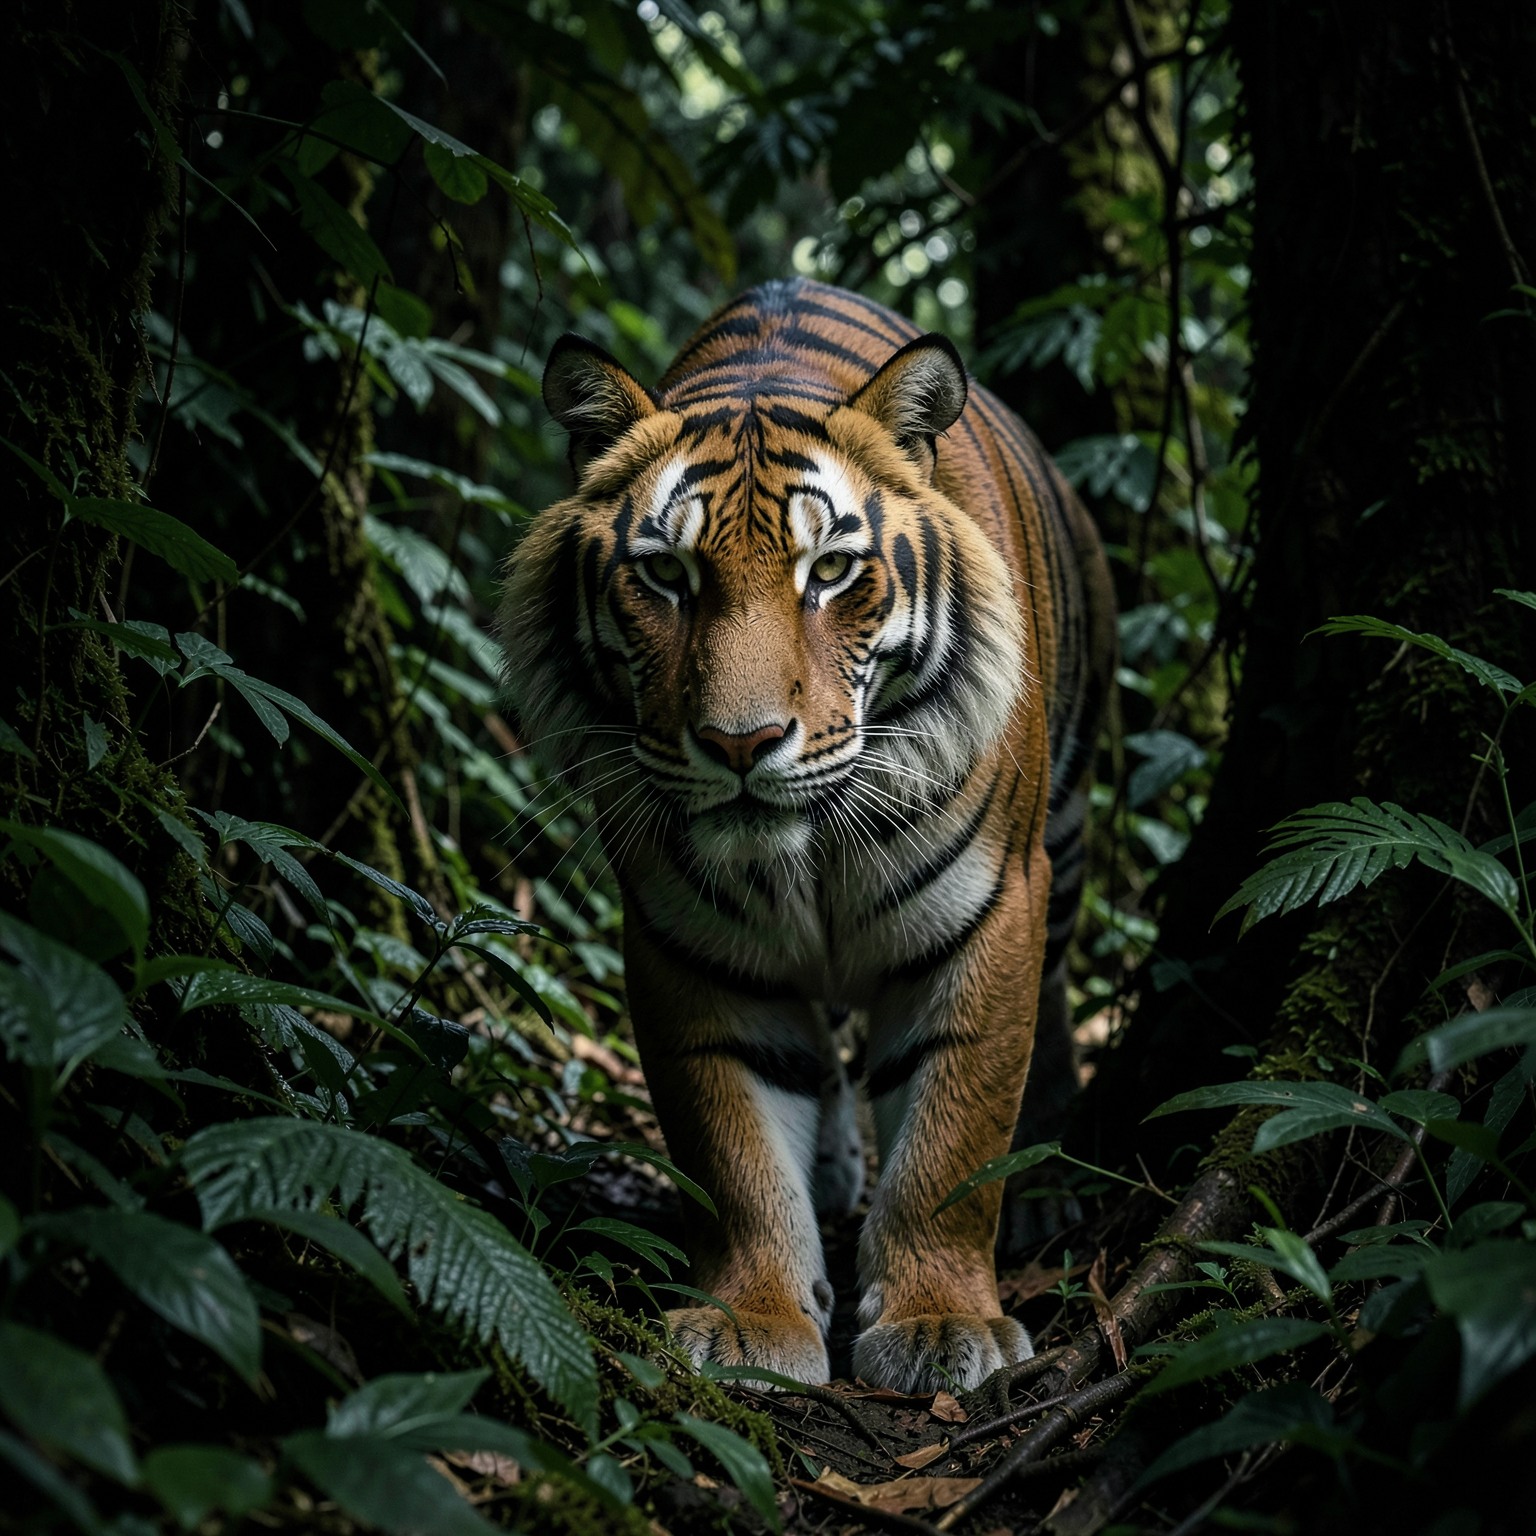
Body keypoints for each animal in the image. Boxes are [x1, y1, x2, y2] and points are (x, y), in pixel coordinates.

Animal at [498, 278, 1114, 1392]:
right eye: (666, 576)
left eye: (828, 570)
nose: (741, 743)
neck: (809, 854)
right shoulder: (690, 944)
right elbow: (732, 1147)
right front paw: (751, 1319)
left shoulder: (990, 912)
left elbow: (954, 1134)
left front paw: (939, 1324)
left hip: (1074, 821)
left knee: (1050, 1001)